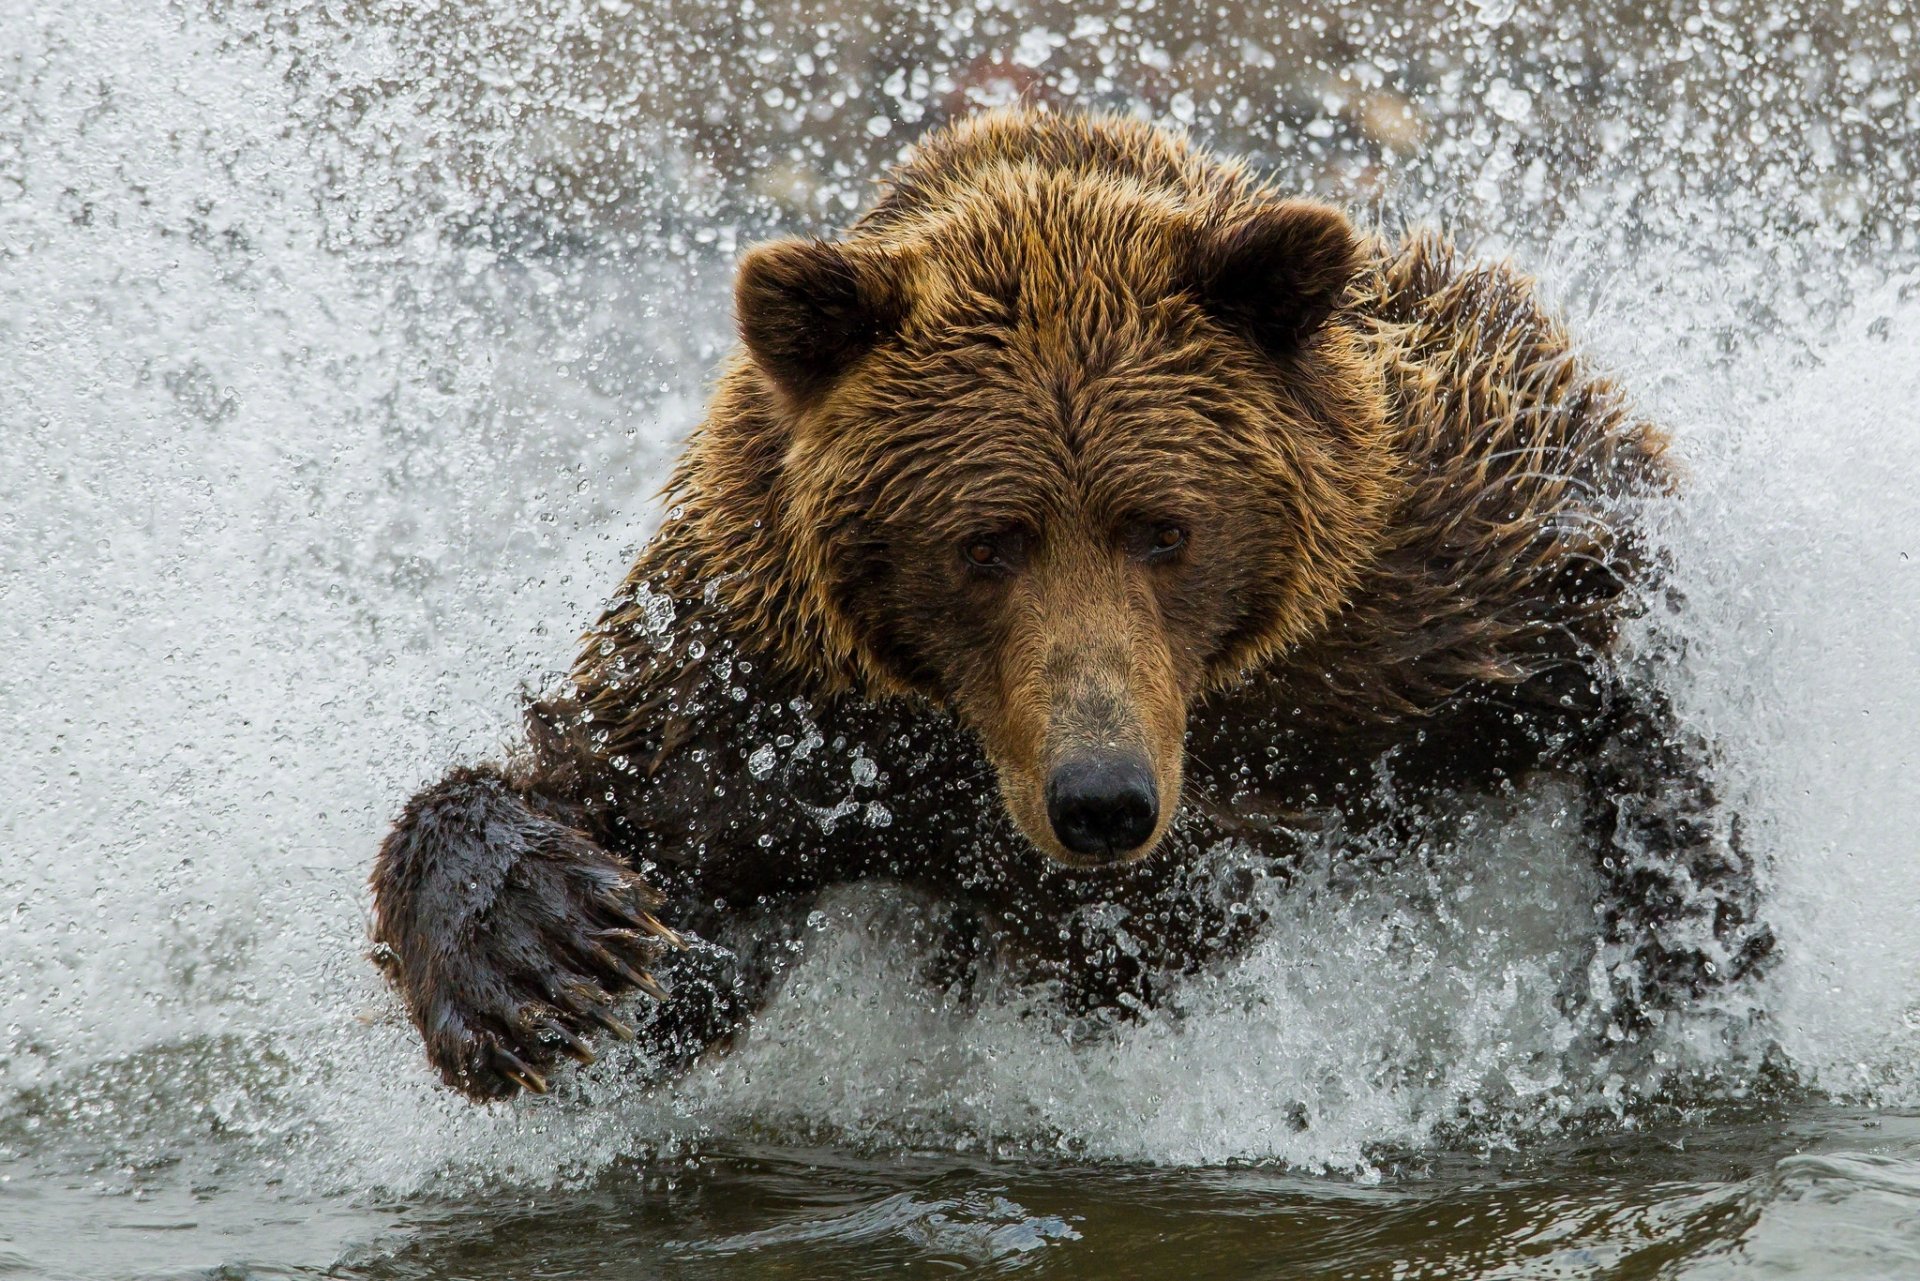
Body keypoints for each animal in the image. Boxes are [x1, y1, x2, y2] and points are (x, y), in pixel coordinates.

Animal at [369, 109, 1774, 1101]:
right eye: (985, 542)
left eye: (1166, 528)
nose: (1103, 798)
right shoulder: (776, 700)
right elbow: (623, 812)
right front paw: (544, 958)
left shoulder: (1438, 569)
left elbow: (1623, 659)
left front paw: (1683, 960)